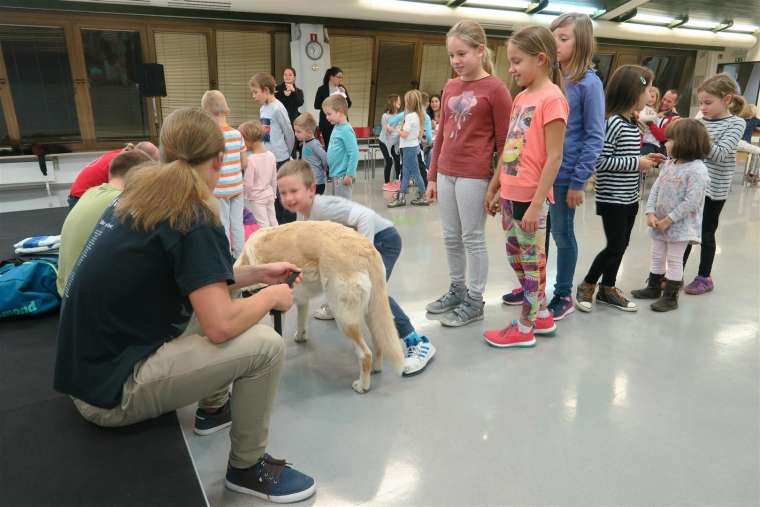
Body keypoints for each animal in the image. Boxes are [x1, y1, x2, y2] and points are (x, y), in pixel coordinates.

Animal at [236, 221, 404, 392]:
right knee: (378, 344)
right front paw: (301, 337)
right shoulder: (302, 301)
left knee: (365, 354)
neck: (248, 262)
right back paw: (376, 369)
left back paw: (363, 385)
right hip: (371, 313)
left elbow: (279, 331)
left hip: (344, 317)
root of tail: (365, 248)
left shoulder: (278, 308)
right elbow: (301, 322)